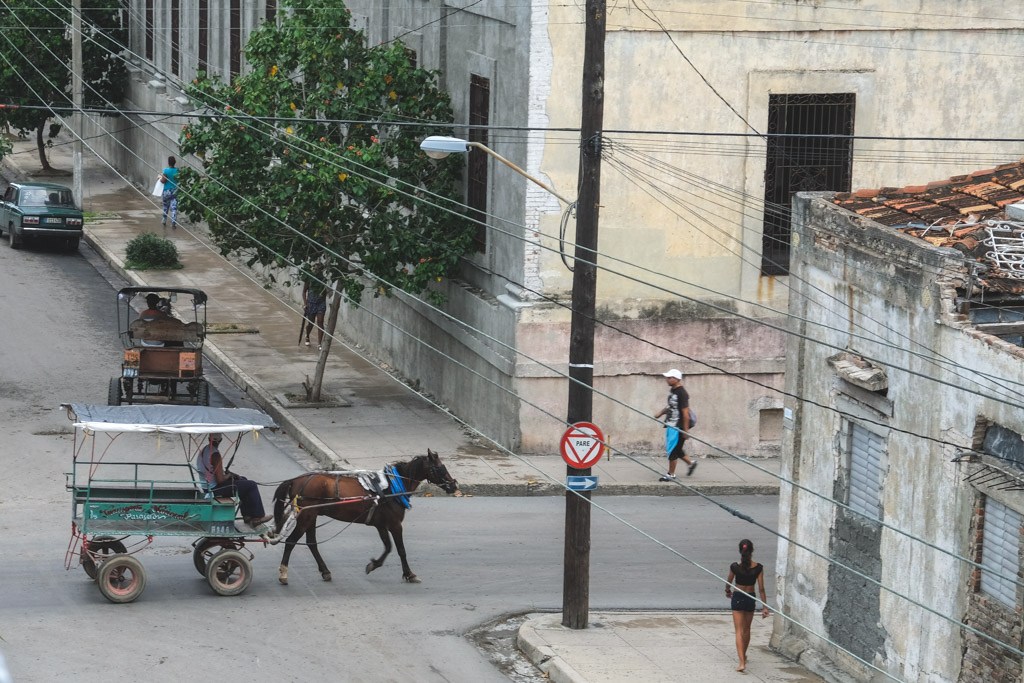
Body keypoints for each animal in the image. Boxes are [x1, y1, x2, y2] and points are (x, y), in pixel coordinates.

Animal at [272, 448, 464, 589]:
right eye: (440, 468)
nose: (453, 485)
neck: (393, 487)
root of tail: (295, 480)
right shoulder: (395, 525)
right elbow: (400, 550)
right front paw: (409, 574)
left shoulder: (381, 525)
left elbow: (388, 547)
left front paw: (373, 565)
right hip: (306, 516)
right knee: (290, 541)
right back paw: (283, 574)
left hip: (311, 517)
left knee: (311, 543)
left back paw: (325, 571)